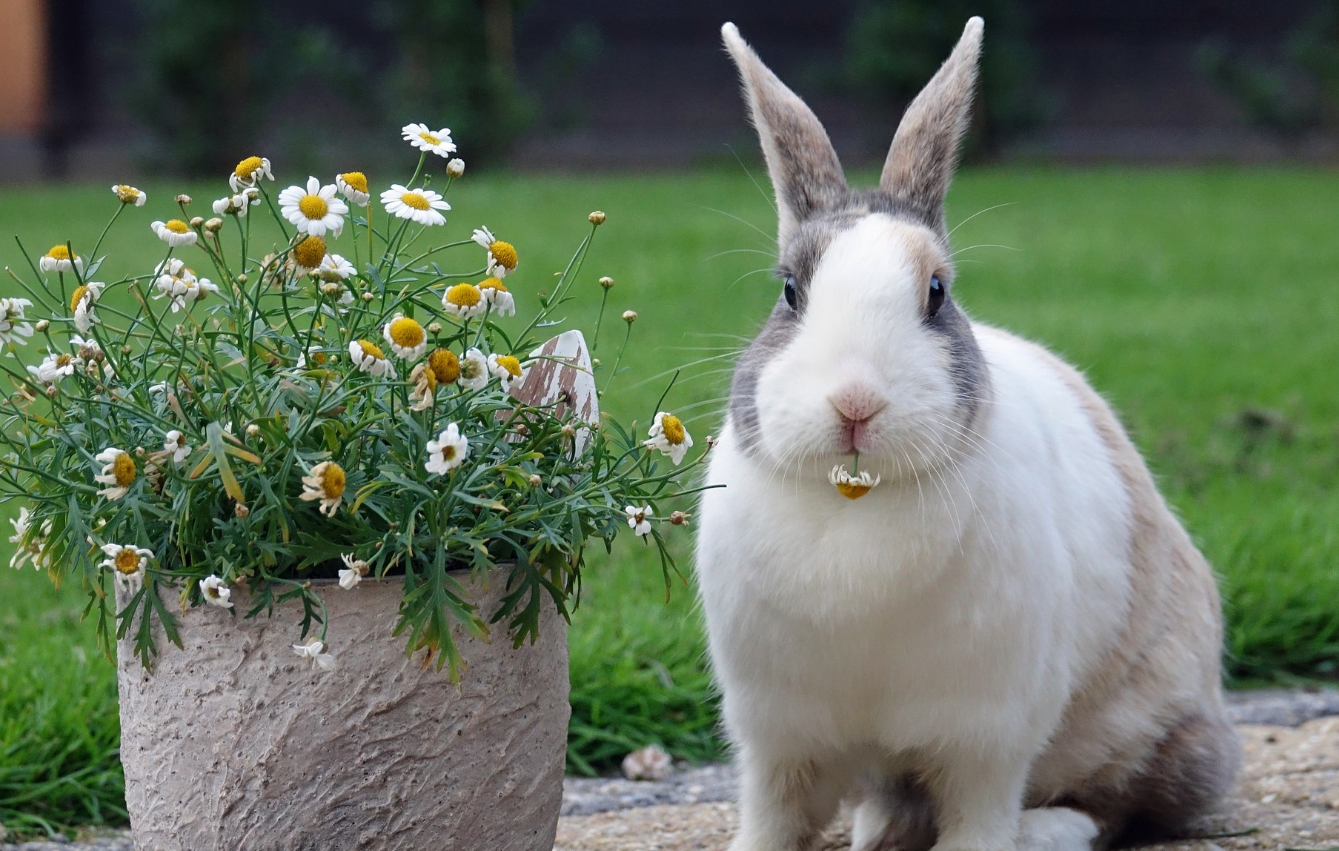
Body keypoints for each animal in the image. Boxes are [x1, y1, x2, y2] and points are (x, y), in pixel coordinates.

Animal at [696, 18, 1237, 851]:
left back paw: (1047, 829)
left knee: (1125, 800)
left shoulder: (985, 735)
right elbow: (772, 812)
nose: (855, 402)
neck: (855, 497)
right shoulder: (776, 735)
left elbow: (978, 808)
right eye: (788, 291)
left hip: (1153, 731)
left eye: (935, 293)